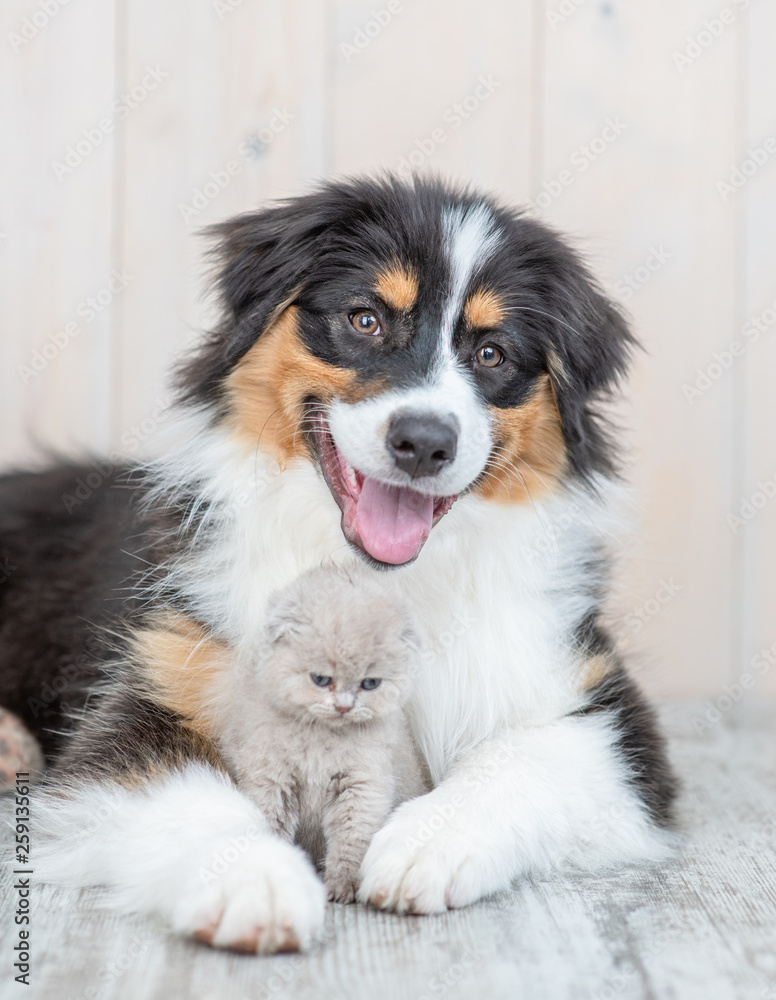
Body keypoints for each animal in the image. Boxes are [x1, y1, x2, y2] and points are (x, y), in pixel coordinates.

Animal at [217, 568, 430, 904]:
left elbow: (352, 838)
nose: (344, 706)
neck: (320, 740)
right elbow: (270, 823)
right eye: (320, 679)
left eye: (370, 683)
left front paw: (343, 885)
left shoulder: (363, 785)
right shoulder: (272, 779)